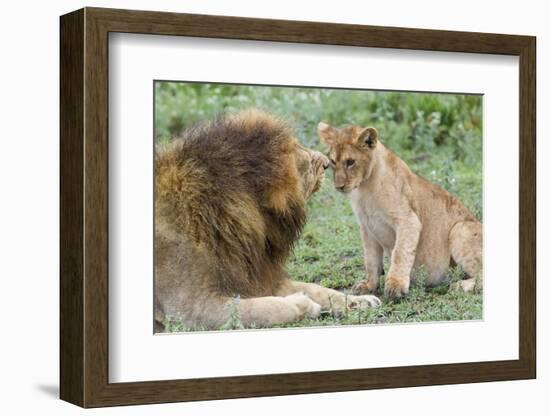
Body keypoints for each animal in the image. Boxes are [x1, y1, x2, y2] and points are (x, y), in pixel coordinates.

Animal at [155, 110, 380, 332]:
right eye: (298, 150)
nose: (326, 163)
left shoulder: (257, 276)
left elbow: (317, 288)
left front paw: (359, 301)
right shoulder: (191, 308)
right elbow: (265, 308)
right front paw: (304, 304)